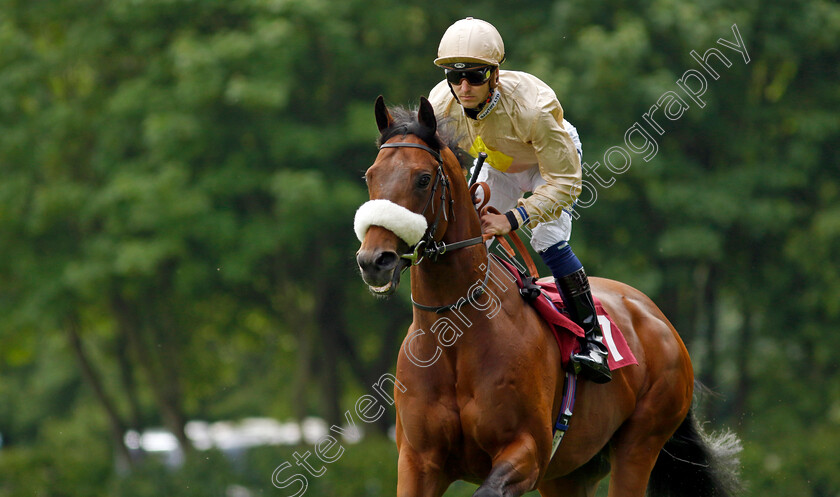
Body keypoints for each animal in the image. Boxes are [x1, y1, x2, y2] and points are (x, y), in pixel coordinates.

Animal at [356, 97, 740, 496]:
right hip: (569, 473)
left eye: (423, 178)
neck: (455, 337)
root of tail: (658, 319)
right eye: (370, 176)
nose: (375, 260)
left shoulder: (527, 452)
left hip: (640, 442)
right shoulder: (418, 462)